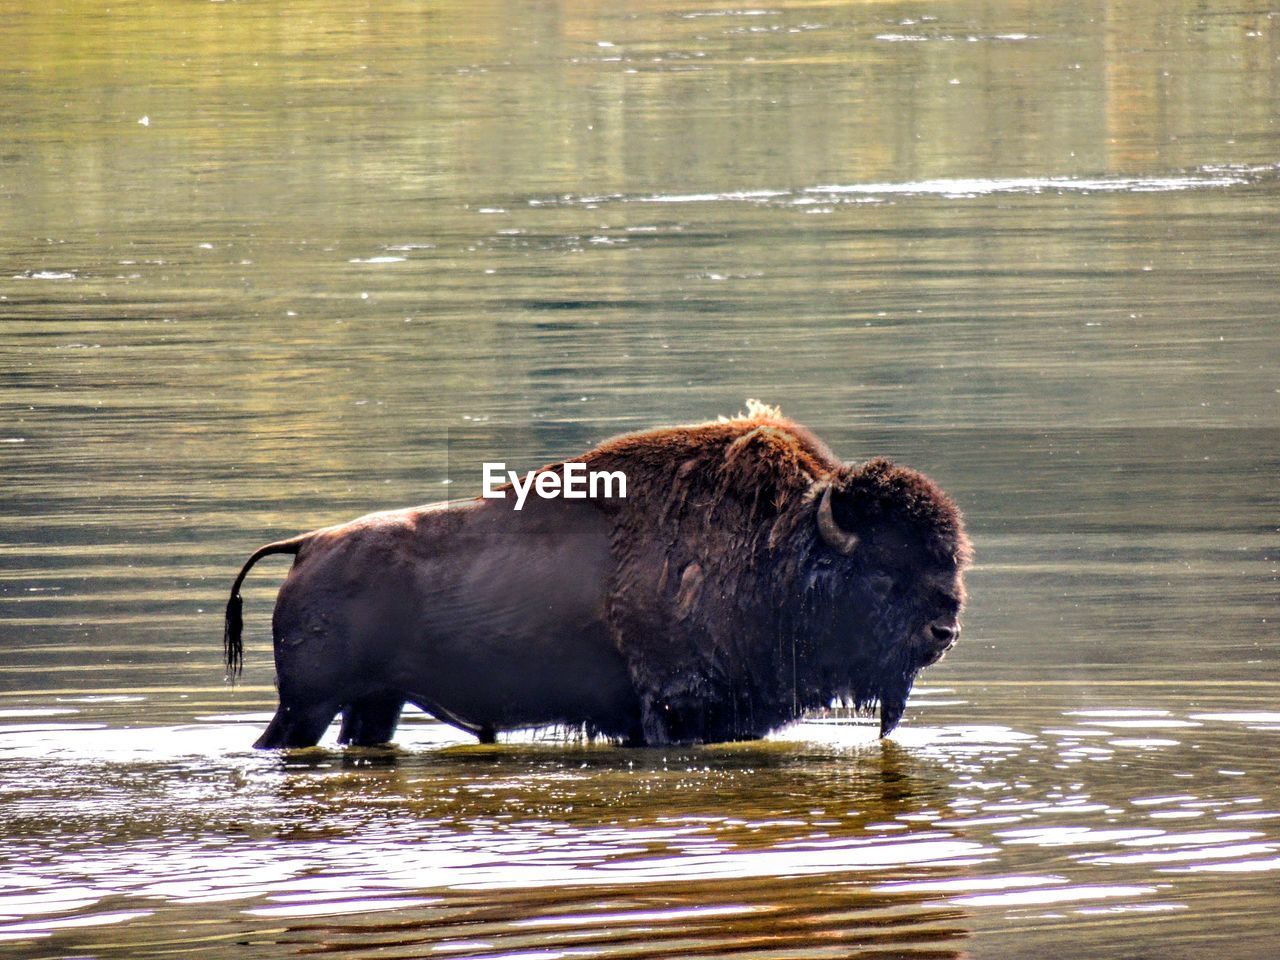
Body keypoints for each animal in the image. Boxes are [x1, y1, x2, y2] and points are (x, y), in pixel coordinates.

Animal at [227, 407, 967, 752]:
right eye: (884, 574)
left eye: (949, 560)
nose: (945, 628)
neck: (780, 544)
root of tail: (308, 545)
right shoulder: (675, 708)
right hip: (307, 706)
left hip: (375, 704)